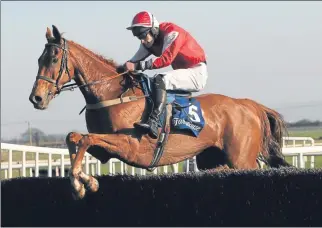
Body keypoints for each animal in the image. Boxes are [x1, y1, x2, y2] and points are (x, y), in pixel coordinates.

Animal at [28, 25, 290, 200]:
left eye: (53, 59)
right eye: (39, 58)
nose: (36, 98)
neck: (113, 93)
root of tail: (250, 105)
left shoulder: (131, 146)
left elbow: (84, 139)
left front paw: (82, 184)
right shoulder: (105, 150)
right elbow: (74, 137)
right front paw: (84, 182)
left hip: (241, 159)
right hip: (211, 157)